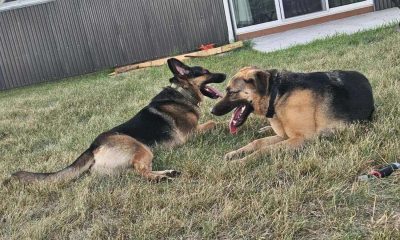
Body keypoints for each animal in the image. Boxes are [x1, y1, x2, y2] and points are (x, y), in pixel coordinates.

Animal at [9, 59, 227, 183]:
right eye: (205, 72)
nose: (225, 74)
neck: (182, 92)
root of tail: (93, 147)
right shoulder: (191, 134)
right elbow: (213, 123)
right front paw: (226, 124)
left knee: (133, 172)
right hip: (140, 146)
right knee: (141, 171)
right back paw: (164, 176)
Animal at [212, 66, 376, 162]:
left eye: (231, 92)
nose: (211, 111)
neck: (276, 95)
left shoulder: (300, 139)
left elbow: (264, 149)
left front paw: (242, 161)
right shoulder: (284, 136)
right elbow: (257, 143)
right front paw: (235, 153)